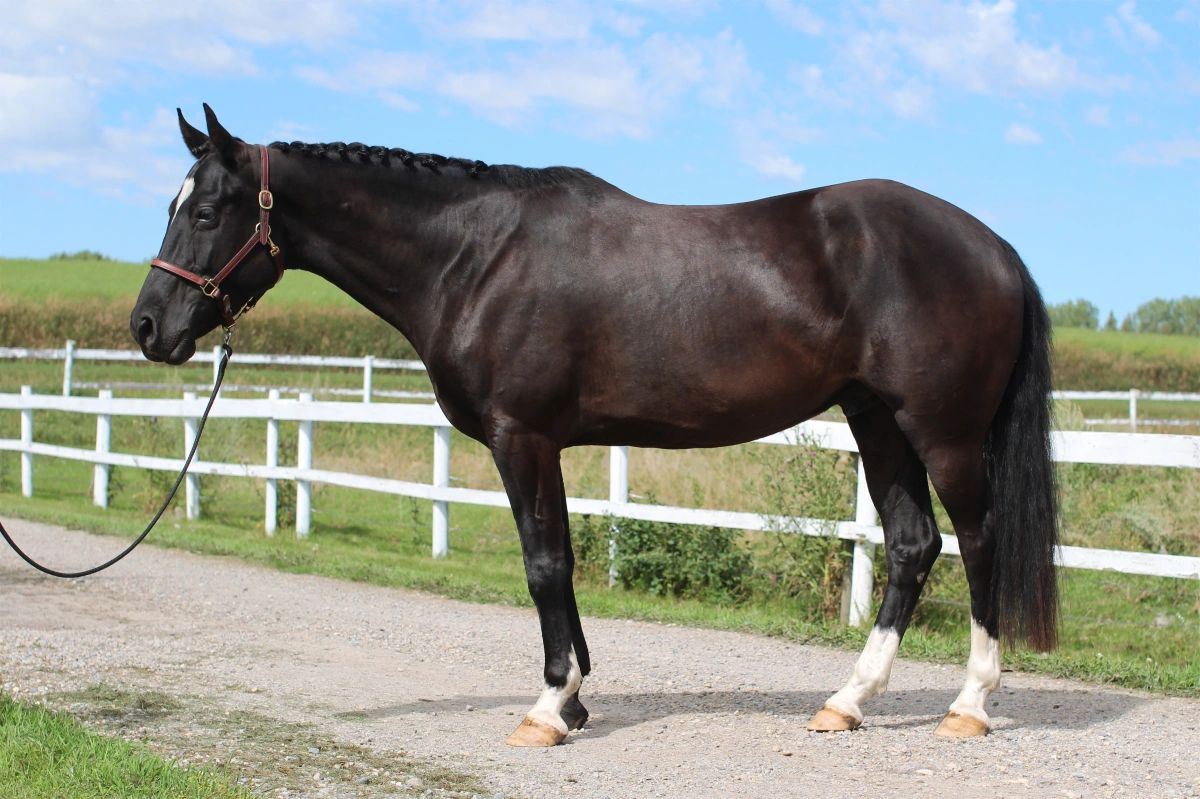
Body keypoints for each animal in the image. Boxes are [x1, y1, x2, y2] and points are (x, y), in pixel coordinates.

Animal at [132, 105, 1058, 746]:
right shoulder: (546, 444)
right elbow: (566, 559)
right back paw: (846, 701)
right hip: (877, 421)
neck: (476, 258)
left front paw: (547, 708)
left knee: (978, 540)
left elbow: (543, 564)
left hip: (940, 430)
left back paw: (970, 704)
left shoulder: (522, 437)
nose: (148, 327)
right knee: (911, 544)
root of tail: (995, 246)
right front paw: (575, 698)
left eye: (207, 212)